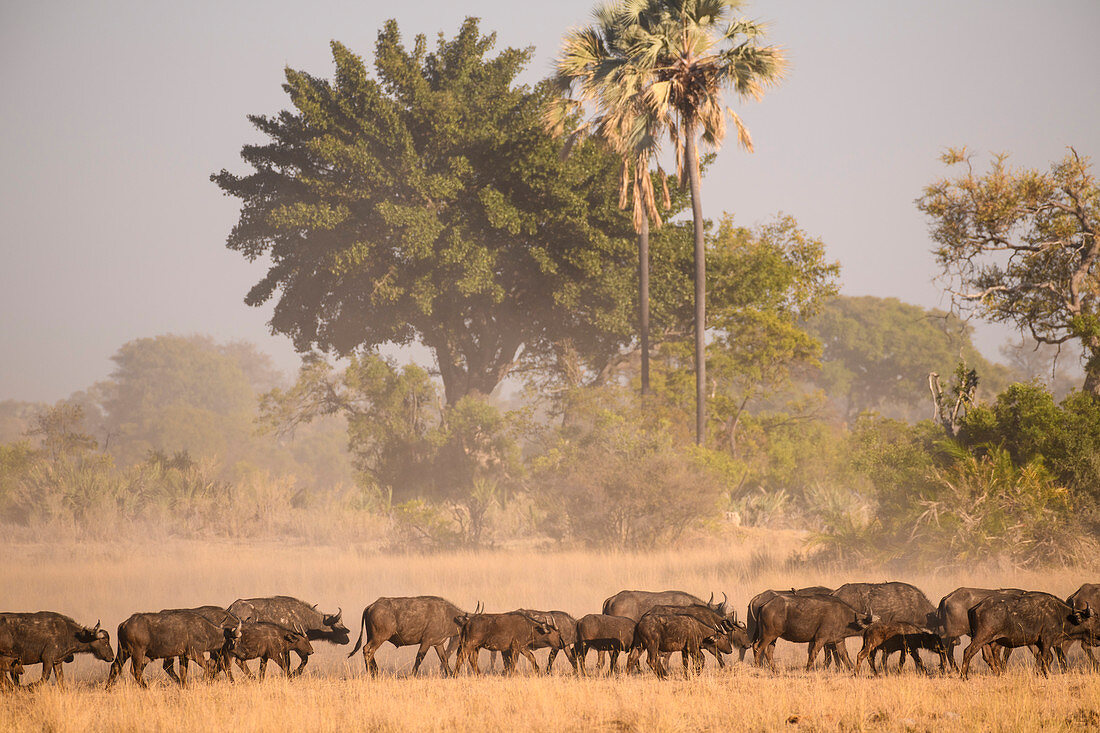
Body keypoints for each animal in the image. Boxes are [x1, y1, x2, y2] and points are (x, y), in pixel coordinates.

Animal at [963, 589, 1091, 677]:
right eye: (1094, 620)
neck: (1058, 612)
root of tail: (977, 607)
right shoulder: (1047, 639)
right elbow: (1045, 657)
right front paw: (1045, 674)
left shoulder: (1037, 642)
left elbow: (1045, 657)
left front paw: (1039, 673)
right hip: (982, 637)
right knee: (968, 651)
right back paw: (964, 676)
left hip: (988, 640)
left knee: (989, 655)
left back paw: (999, 673)